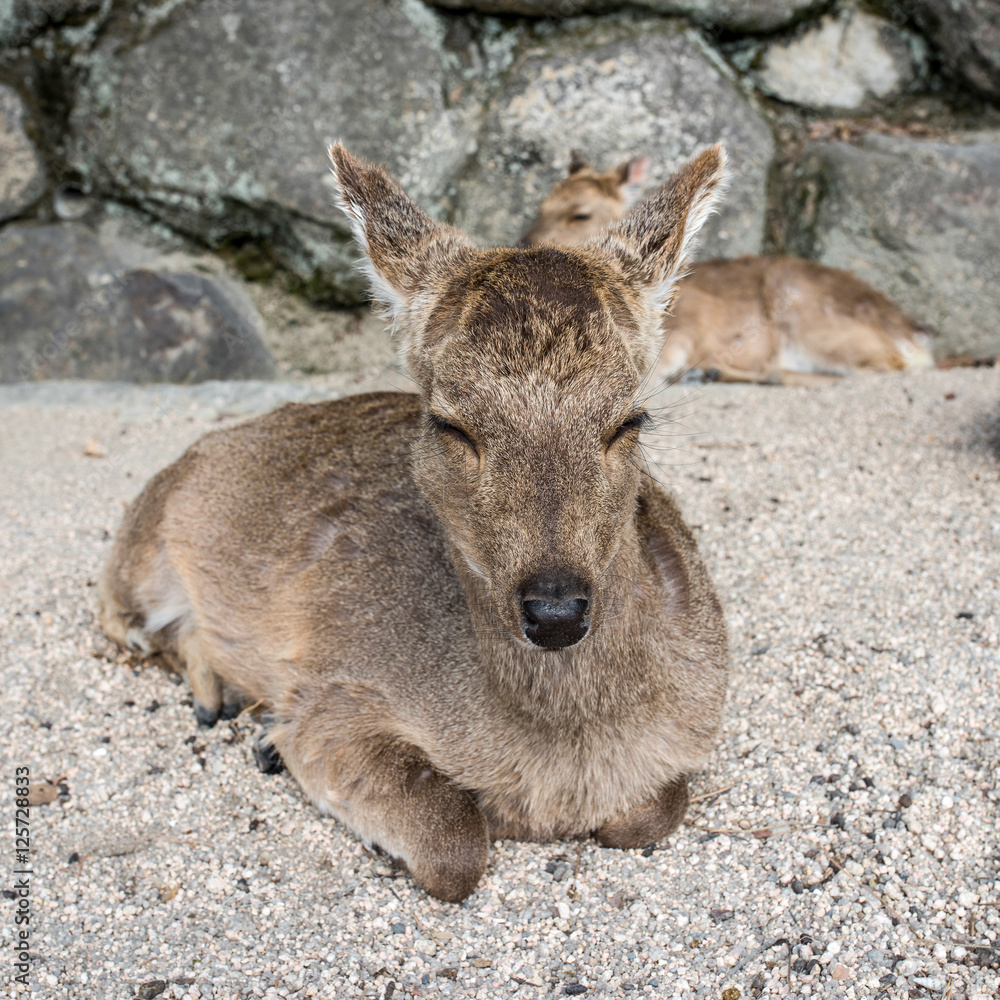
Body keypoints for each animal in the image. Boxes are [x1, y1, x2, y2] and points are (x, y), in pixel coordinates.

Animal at [98, 143, 730, 903]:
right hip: (136, 559)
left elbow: (659, 808)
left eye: (629, 419)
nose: (555, 610)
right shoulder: (334, 695)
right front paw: (276, 742)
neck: (560, 770)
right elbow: (453, 844)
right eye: (449, 423)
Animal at [521, 153, 934, 385]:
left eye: (580, 213)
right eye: (541, 206)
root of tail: (911, 330)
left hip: (812, 317)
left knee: (883, 367)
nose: (527, 243)